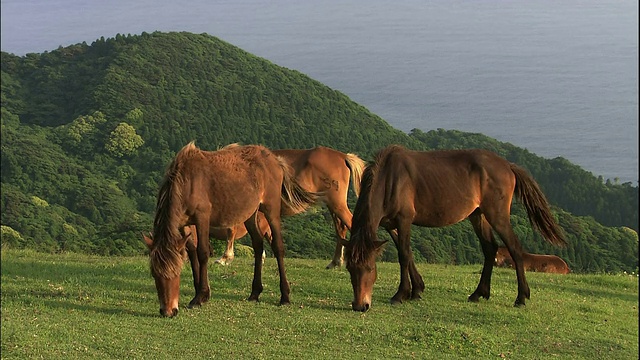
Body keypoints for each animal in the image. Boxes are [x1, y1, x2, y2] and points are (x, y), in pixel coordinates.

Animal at [147, 142, 318, 316]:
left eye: (176, 272)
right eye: (154, 274)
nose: (168, 311)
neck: (187, 182)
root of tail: (274, 159)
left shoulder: (202, 218)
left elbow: (202, 253)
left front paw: (201, 296)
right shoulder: (184, 224)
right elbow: (192, 252)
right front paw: (198, 291)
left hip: (271, 210)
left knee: (278, 247)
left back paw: (285, 296)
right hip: (250, 213)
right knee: (258, 245)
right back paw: (255, 293)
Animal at [218, 146, 364, 268]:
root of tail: (343, 156)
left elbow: (232, 230)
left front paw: (225, 258)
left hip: (337, 204)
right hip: (332, 205)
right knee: (340, 229)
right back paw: (335, 262)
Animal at [342, 145, 568, 310]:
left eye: (370, 268)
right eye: (350, 268)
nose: (360, 305)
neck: (390, 179)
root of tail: (507, 165)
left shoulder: (404, 220)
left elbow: (404, 255)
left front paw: (401, 294)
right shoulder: (390, 225)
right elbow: (408, 253)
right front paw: (417, 290)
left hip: (497, 215)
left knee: (514, 248)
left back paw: (521, 297)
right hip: (478, 215)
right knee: (490, 249)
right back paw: (478, 293)